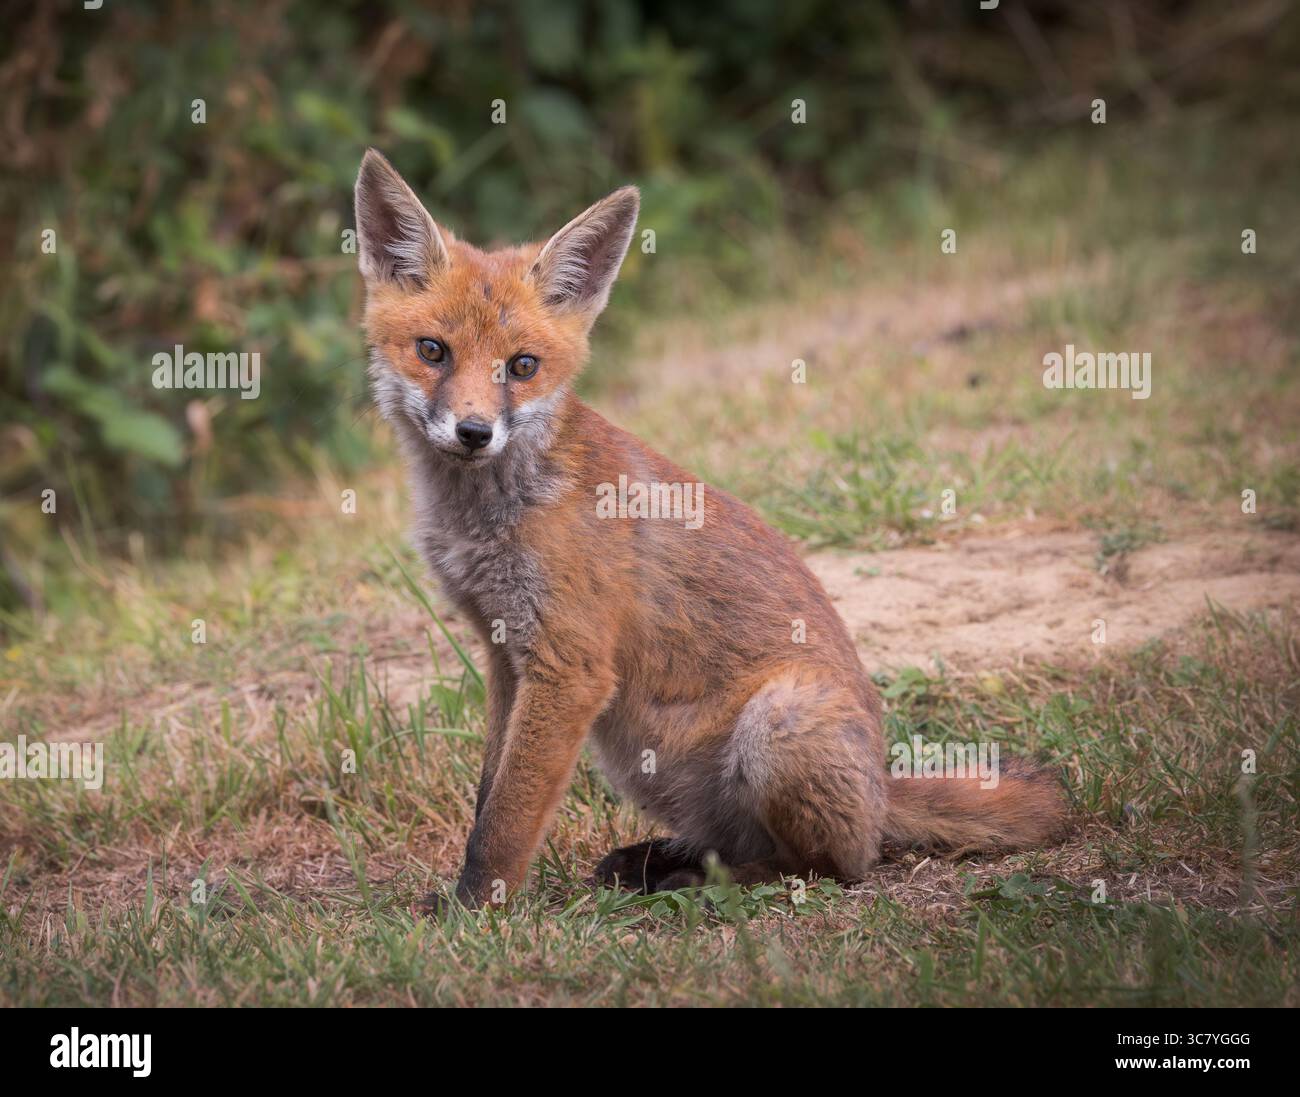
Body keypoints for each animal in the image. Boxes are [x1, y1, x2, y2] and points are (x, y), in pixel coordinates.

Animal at [353, 149, 1068, 910]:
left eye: (522, 366)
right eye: (432, 350)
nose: (473, 432)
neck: (488, 516)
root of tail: (881, 791)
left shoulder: (568, 666)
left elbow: (507, 818)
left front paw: (474, 911)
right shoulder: (504, 656)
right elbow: (490, 794)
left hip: (778, 724)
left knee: (827, 865)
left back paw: (706, 883)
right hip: (641, 762)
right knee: (741, 843)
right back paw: (660, 861)